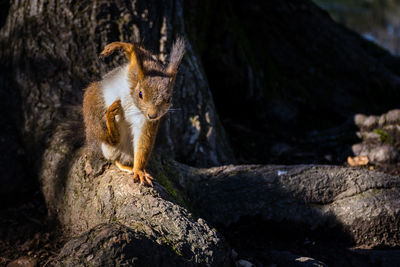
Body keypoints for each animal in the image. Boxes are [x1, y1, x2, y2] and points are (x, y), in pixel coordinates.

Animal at [84, 37, 186, 187]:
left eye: (168, 99)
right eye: (141, 94)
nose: (152, 115)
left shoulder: (145, 122)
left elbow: (143, 142)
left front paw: (139, 171)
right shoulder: (137, 68)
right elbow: (135, 52)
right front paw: (116, 46)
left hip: (126, 151)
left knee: (116, 157)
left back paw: (127, 165)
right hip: (93, 101)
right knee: (106, 138)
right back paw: (110, 124)